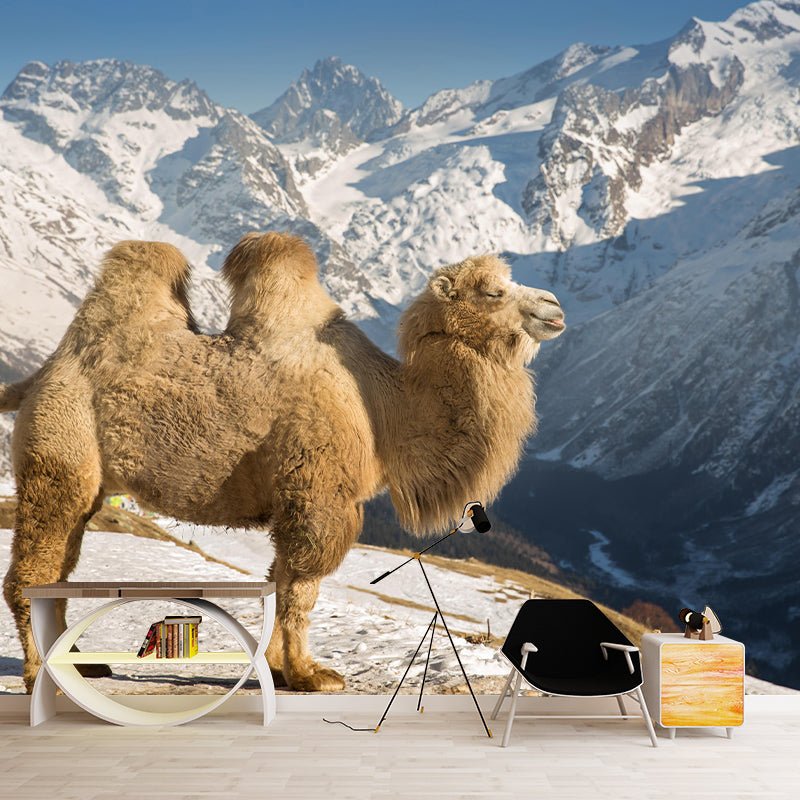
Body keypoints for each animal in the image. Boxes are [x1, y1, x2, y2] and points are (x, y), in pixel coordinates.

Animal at [1, 232, 565, 693]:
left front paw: (274, 669)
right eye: (492, 291)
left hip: (89, 484)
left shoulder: (297, 497)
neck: (384, 407)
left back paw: (82, 664)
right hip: (61, 450)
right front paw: (310, 675)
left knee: (60, 571)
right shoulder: (318, 493)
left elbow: (277, 580)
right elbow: (301, 588)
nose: (554, 306)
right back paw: (42, 677)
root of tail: (41, 375)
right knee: (33, 570)